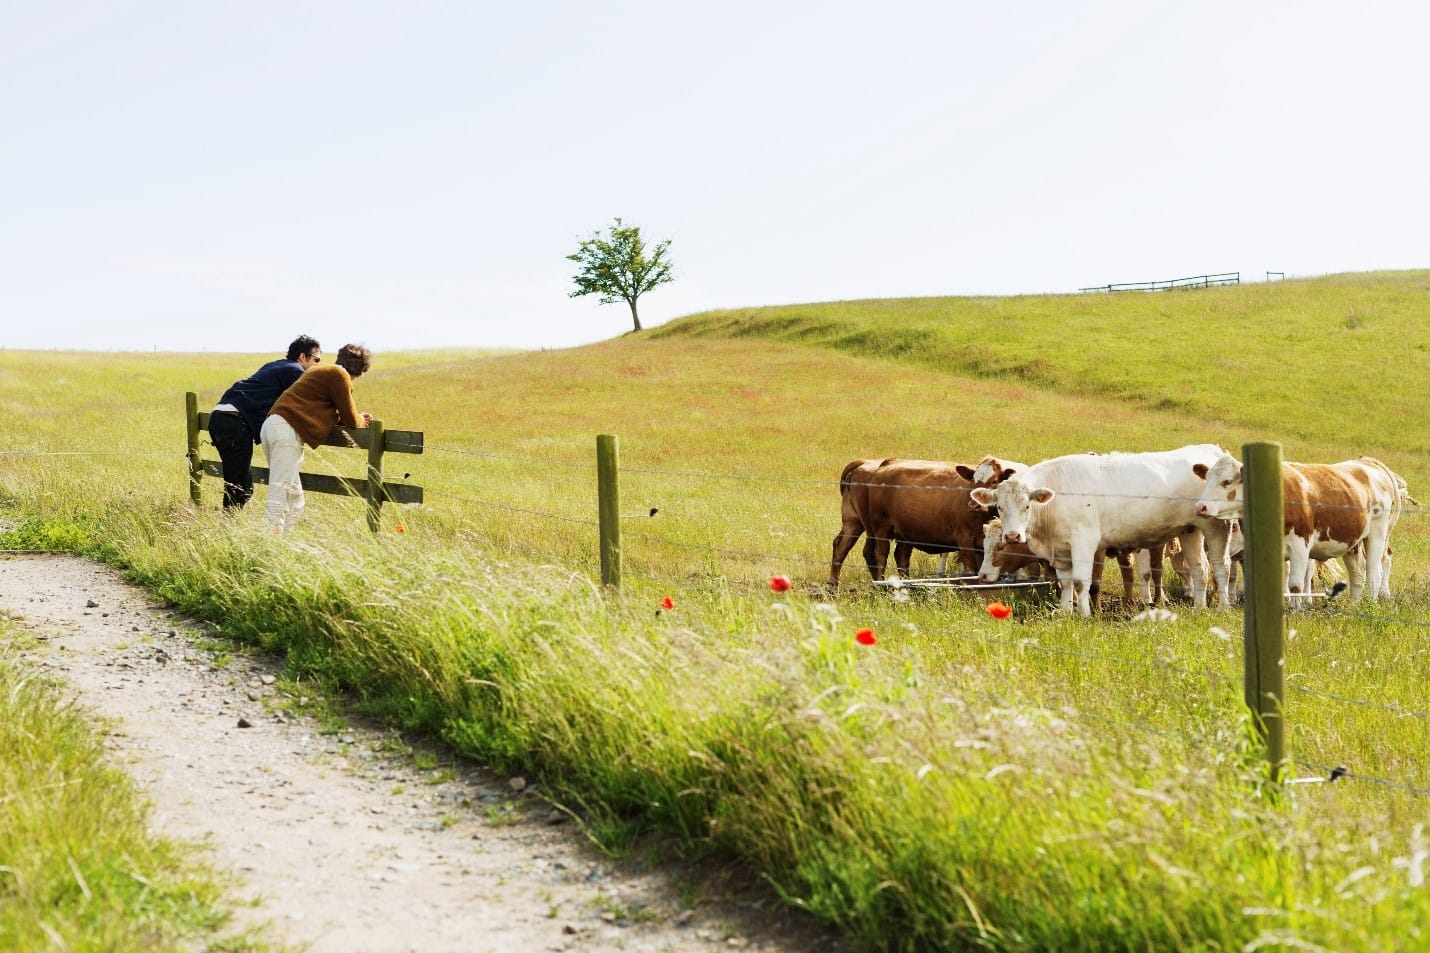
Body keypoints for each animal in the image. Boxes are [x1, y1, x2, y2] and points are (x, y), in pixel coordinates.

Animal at [829, 455, 1018, 586]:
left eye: (995, 481)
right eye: (973, 480)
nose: (974, 503)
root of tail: (886, 464)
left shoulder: (981, 544)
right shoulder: (964, 541)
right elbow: (970, 570)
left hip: (862, 524)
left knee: (845, 546)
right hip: (879, 528)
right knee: (878, 555)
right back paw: (880, 586)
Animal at [966, 440, 1235, 612]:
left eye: (1027, 506)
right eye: (1000, 507)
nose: (1012, 535)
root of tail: (1210, 450)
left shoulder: (1085, 543)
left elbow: (1081, 582)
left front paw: (1084, 615)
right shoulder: (1061, 549)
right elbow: (1066, 582)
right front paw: (1065, 612)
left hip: (1217, 528)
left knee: (1221, 566)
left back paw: (1222, 607)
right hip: (1191, 530)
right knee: (1200, 569)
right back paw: (1199, 608)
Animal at [1189, 452, 1401, 600]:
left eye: (1227, 482)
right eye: (1206, 479)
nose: (1200, 507)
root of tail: (1367, 463)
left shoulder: (1300, 545)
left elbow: (1295, 584)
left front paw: (1297, 612)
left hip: (1377, 534)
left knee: (1374, 573)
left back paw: (1371, 604)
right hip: (1352, 542)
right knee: (1357, 576)